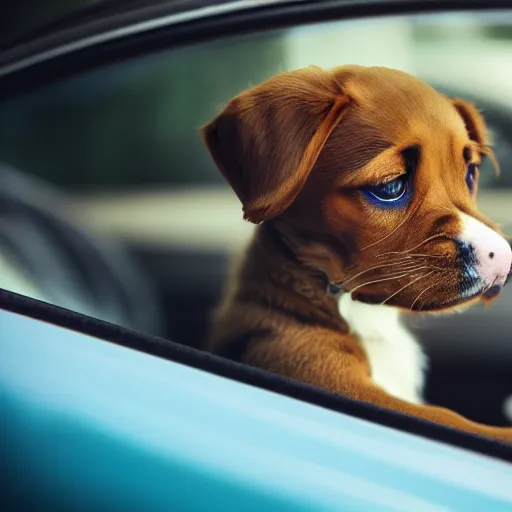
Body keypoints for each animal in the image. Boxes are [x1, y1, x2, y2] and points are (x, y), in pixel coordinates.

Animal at [202, 63, 512, 440]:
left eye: (470, 173)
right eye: (390, 185)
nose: (504, 257)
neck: (365, 317)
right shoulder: (327, 375)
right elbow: (451, 419)